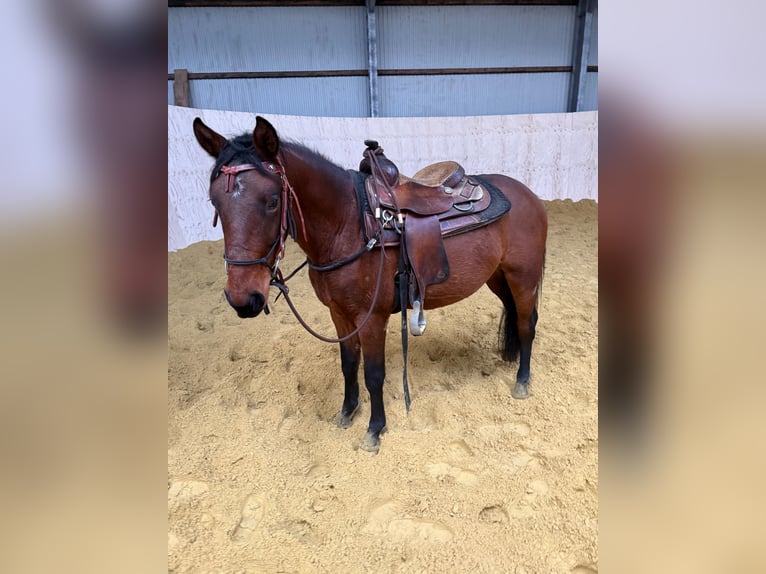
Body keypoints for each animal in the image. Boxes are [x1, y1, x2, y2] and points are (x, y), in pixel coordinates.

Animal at [192, 116, 548, 452]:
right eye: (215, 203)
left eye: (271, 201)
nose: (243, 298)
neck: (347, 225)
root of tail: (528, 194)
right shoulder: (339, 313)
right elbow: (349, 365)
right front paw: (347, 412)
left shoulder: (371, 317)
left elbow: (374, 374)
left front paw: (375, 430)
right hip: (497, 276)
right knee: (512, 313)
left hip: (523, 277)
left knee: (527, 322)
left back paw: (522, 380)